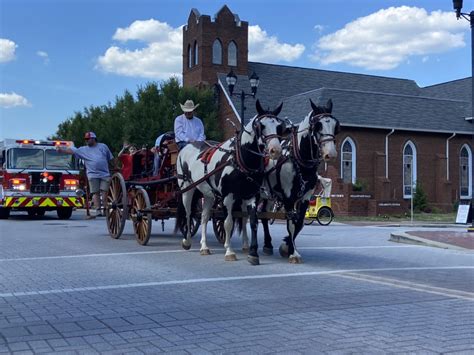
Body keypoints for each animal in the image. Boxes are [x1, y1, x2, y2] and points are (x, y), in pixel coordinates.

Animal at [175, 101, 284, 266]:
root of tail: (187, 146)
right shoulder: (228, 196)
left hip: (209, 195)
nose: (275, 150)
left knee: (204, 217)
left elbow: (253, 222)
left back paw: (204, 247)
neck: (240, 159)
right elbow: (228, 223)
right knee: (188, 214)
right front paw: (229, 251)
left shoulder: (251, 195)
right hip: (187, 189)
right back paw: (187, 241)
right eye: (261, 126)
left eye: (279, 126)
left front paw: (253, 253)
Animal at [254, 99, 338, 264]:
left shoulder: (305, 197)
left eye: (335, 125)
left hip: (268, 195)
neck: (300, 161)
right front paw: (293, 252)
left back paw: (268, 244)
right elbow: (290, 224)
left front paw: (287, 245)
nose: (330, 154)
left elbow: (299, 223)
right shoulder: (288, 197)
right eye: (318, 126)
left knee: (263, 215)